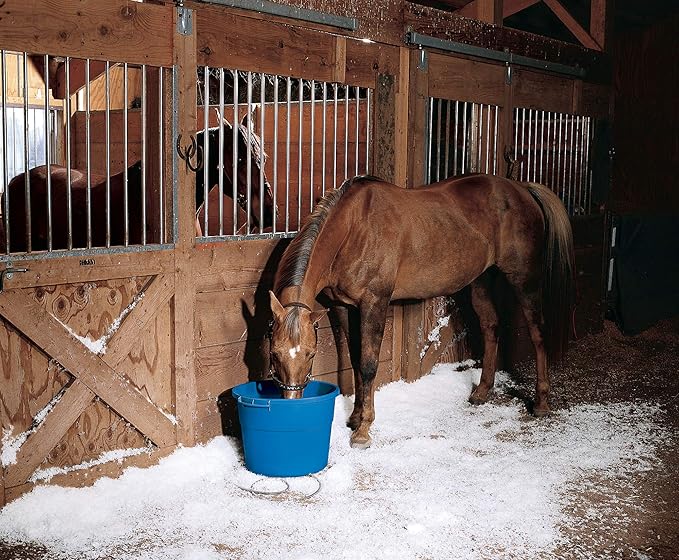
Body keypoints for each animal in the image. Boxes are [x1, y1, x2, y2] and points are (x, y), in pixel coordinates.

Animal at [268, 173, 575, 448]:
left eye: (311, 354)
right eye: (274, 354)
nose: (291, 404)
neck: (353, 229)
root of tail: (521, 188)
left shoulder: (374, 303)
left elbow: (368, 365)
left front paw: (363, 431)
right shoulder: (343, 307)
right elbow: (355, 360)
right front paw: (354, 418)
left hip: (524, 280)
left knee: (537, 333)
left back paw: (541, 402)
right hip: (481, 281)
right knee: (491, 327)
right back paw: (481, 392)